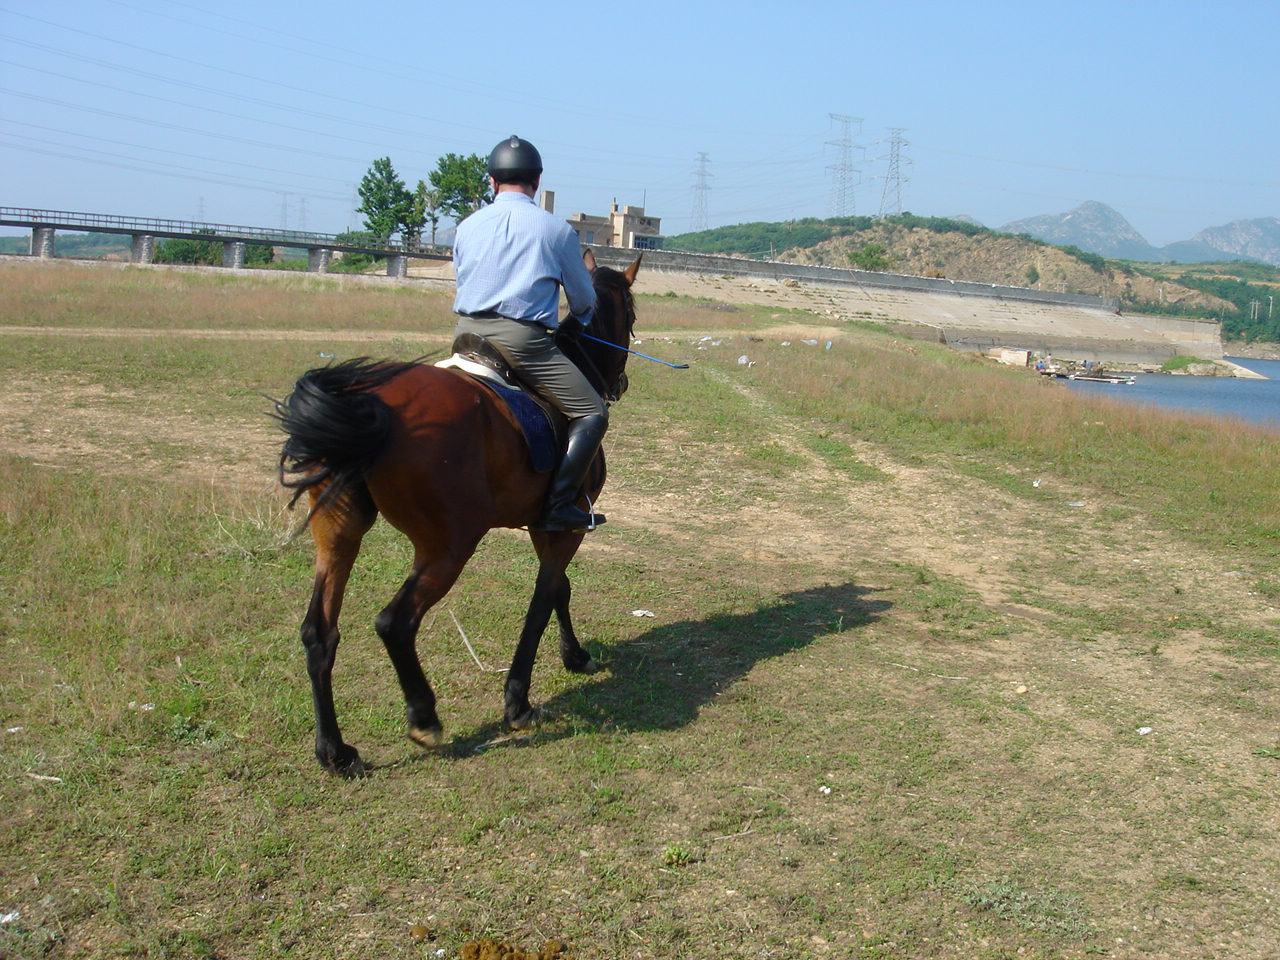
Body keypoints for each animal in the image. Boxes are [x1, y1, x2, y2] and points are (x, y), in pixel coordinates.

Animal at [277, 252, 640, 778]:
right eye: (631, 317)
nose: (620, 382)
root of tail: (370, 403)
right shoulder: (568, 526)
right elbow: (543, 598)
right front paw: (519, 701)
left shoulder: (545, 523)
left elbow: (560, 590)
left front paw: (574, 656)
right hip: (449, 545)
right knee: (394, 623)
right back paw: (424, 718)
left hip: (338, 532)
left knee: (319, 633)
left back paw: (336, 752)